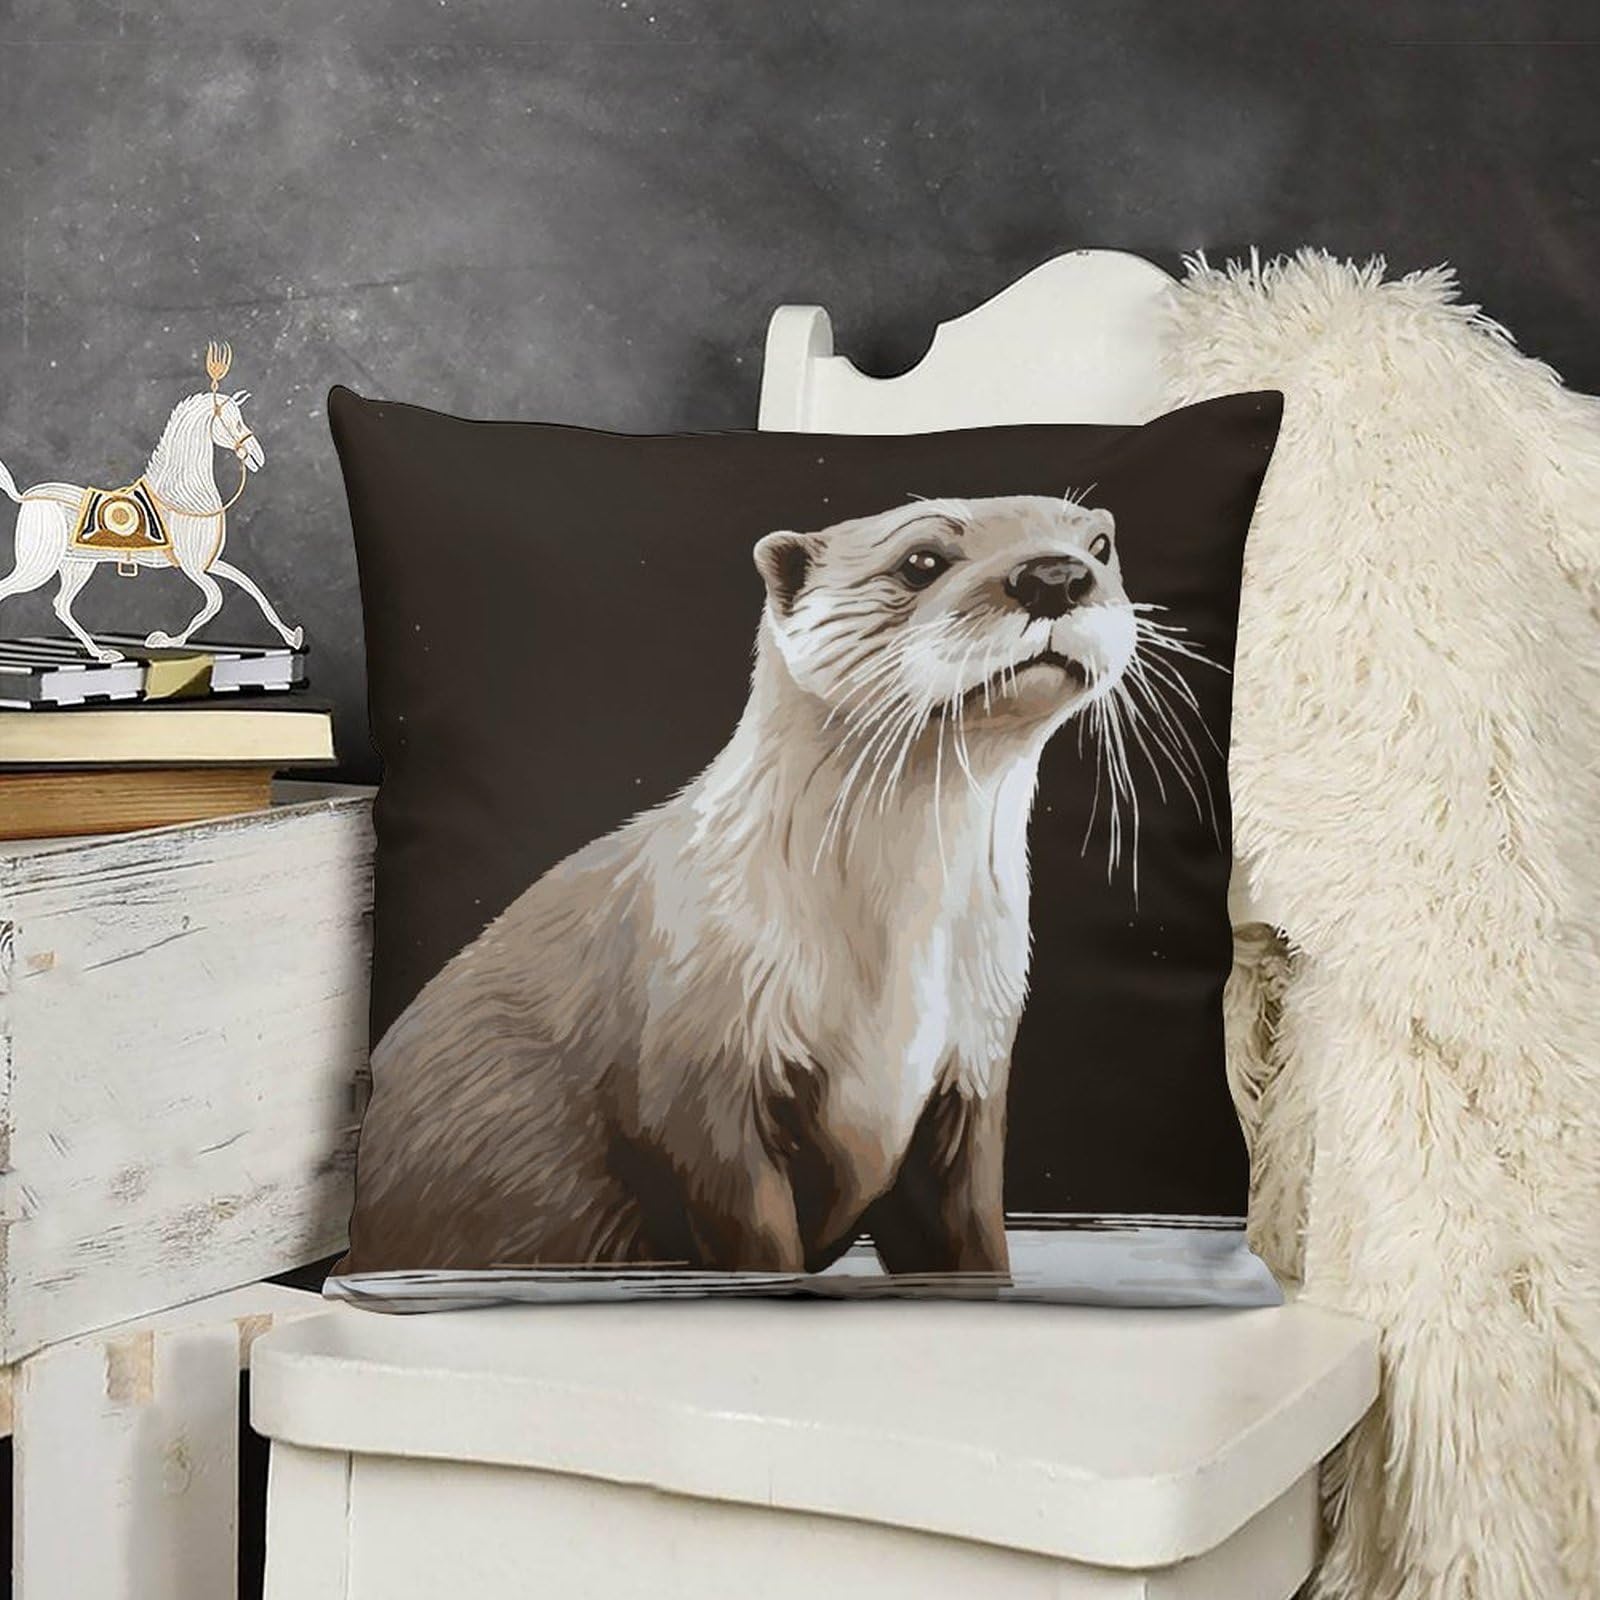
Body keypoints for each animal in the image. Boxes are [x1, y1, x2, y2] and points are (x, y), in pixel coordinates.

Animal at [347, 494, 1140, 1280]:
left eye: (1099, 545)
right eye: (921, 560)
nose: (1056, 575)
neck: (886, 965)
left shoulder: (972, 1069)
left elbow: (967, 1237)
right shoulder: (702, 1085)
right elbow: (751, 1236)